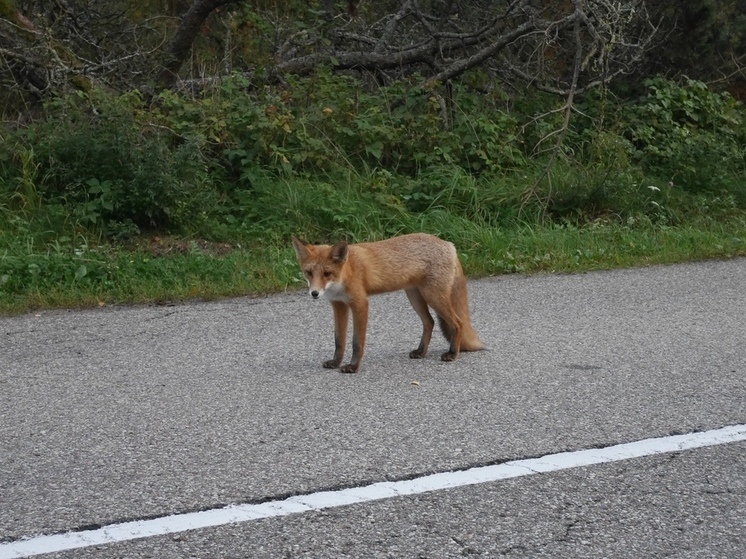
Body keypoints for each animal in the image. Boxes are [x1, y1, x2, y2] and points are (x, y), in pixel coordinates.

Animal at [290, 234, 482, 374]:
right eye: (309, 273)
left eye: (327, 273)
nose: (314, 293)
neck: (347, 272)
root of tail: (448, 244)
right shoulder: (339, 305)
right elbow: (339, 341)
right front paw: (336, 362)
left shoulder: (360, 304)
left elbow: (356, 342)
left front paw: (353, 367)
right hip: (415, 297)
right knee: (430, 322)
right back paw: (421, 352)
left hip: (434, 297)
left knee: (457, 323)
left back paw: (452, 353)